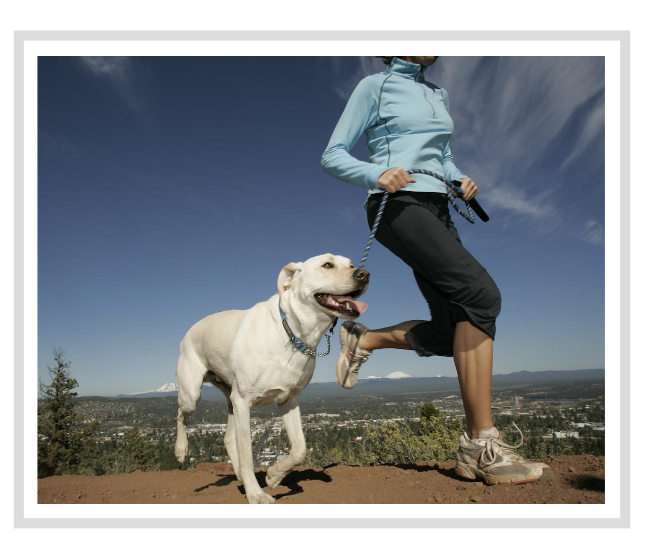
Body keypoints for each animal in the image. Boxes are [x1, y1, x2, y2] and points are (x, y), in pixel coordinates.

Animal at [175, 254, 368, 504]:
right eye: (327, 265)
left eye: (352, 264)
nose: (364, 275)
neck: (293, 333)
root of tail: (190, 329)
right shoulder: (244, 402)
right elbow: (248, 456)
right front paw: (256, 494)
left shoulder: (288, 400)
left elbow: (299, 448)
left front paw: (274, 475)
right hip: (193, 394)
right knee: (181, 414)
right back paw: (181, 450)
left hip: (231, 400)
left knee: (227, 438)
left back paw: (239, 476)